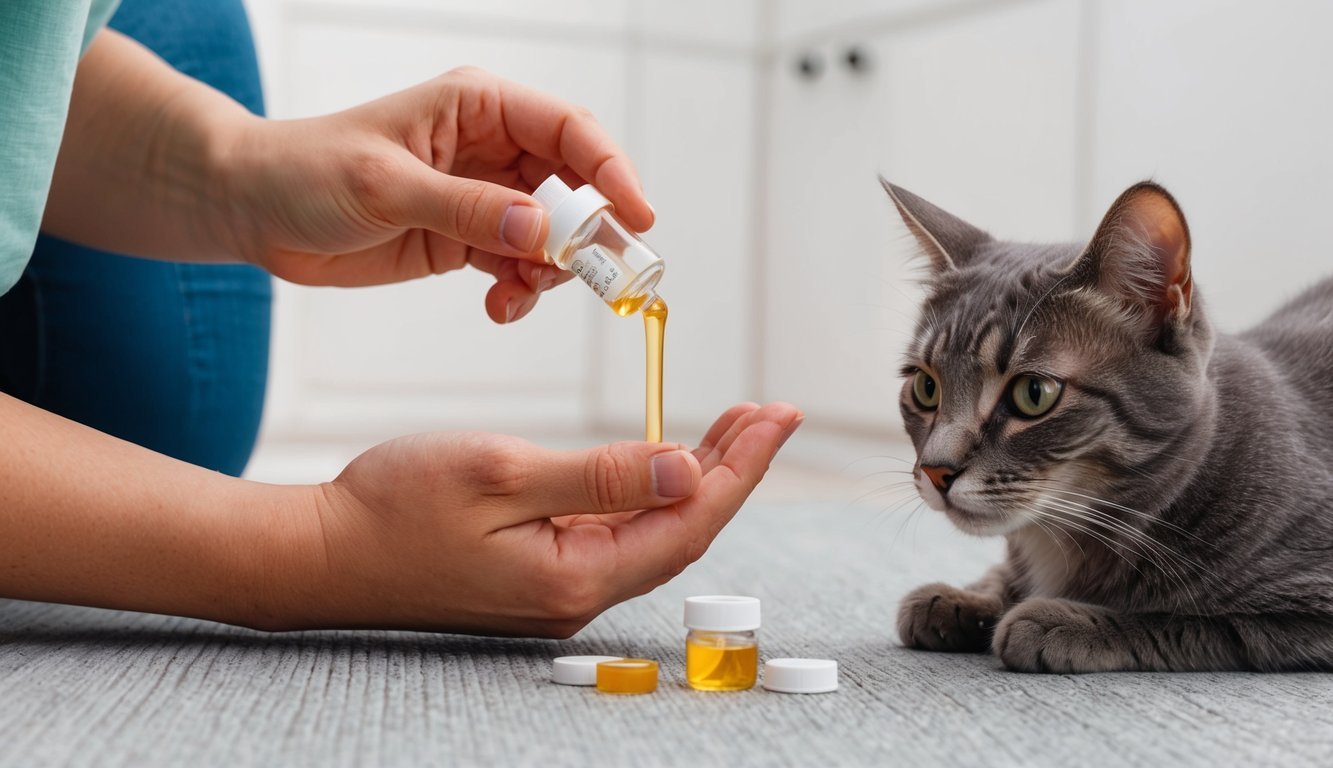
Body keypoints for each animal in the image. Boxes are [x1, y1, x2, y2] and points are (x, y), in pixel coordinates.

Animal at [885, 178, 1333, 672]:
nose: (934, 470)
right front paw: (963, 598)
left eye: (1033, 393)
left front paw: (1060, 620)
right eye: (926, 387)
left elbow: (1190, 622)